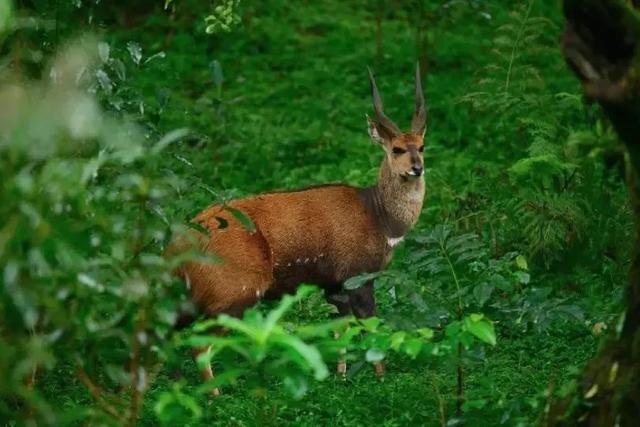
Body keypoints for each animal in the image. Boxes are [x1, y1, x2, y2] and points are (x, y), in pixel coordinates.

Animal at [172, 62, 428, 392]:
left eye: (422, 146)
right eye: (396, 149)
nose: (417, 168)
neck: (380, 217)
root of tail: (182, 241)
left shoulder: (334, 284)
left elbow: (340, 330)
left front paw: (340, 377)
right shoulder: (358, 277)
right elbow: (371, 328)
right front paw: (381, 381)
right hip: (233, 295)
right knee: (199, 344)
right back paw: (214, 395)